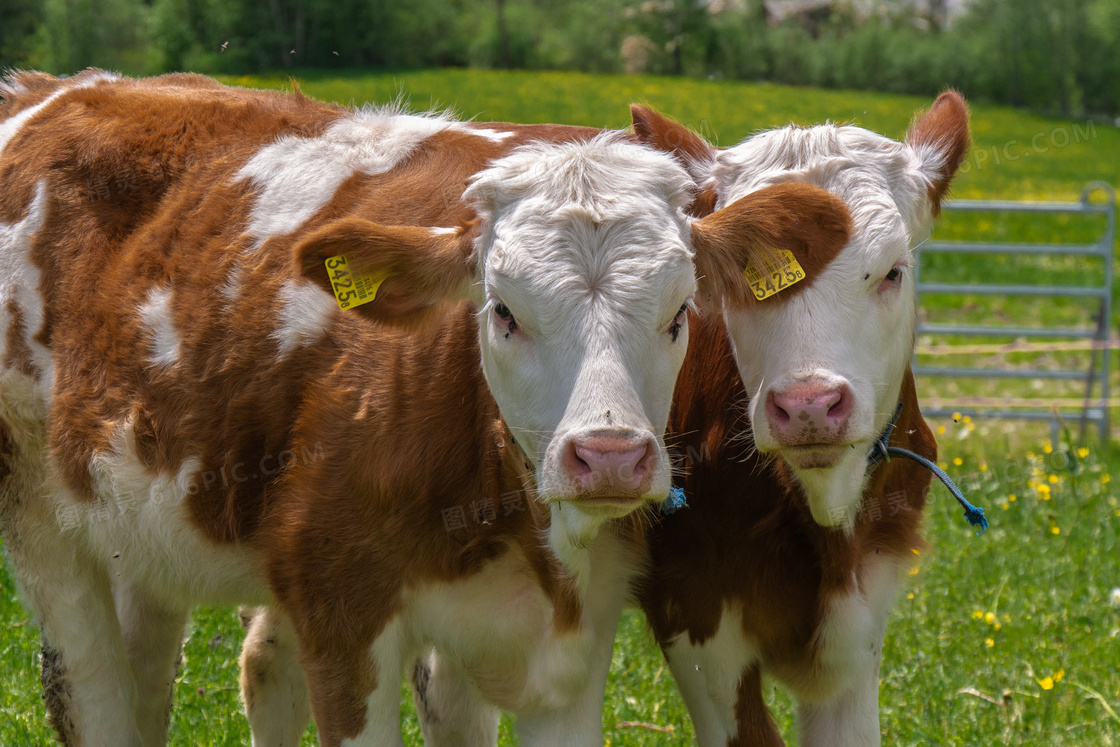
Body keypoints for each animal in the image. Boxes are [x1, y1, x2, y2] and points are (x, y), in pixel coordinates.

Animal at [0, 71, 846, 747]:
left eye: (680, 313)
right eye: (501, 310)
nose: (608, 456)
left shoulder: (572, 648)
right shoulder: (341, 613)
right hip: (40, 509)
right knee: (89, 686)